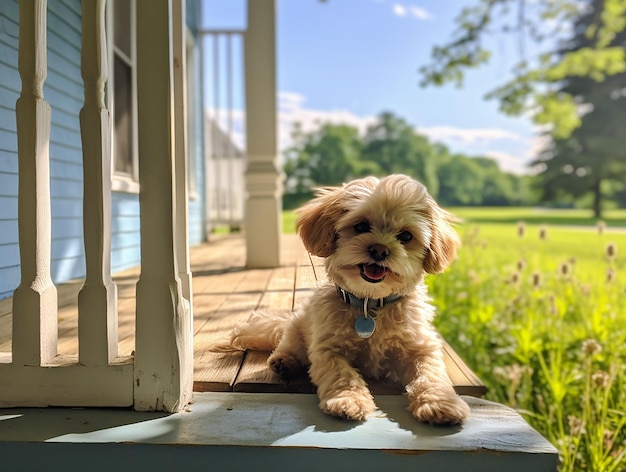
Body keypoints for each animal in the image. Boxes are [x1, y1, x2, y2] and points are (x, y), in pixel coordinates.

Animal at [219, 173, 468, 424]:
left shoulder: (421, 348)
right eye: (361, 226)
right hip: (298, 328)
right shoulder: (328, 349)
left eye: (406, 236)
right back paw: (284, 361)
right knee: (288, 345)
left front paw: (441, 402)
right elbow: (343, 374)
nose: (379, 250)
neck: (370, 305)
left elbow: (431, 374)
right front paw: (348, 400)